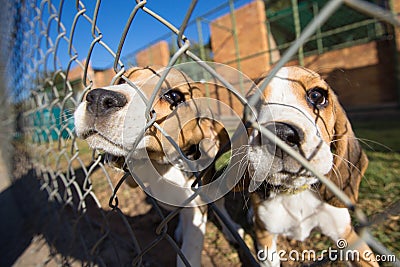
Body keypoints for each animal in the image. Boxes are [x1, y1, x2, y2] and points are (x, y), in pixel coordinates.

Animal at [74, 66, 234, 267]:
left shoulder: (197, 209)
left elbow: (190, 251)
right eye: (123, 80)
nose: (99, 99)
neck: (163, 167)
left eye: (173, 96)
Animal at [247, 66, 378, 266]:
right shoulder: (265, 240)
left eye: (317, 95)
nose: (279, 134)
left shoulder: (347, 235)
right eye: (250, 106)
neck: (296, 193)